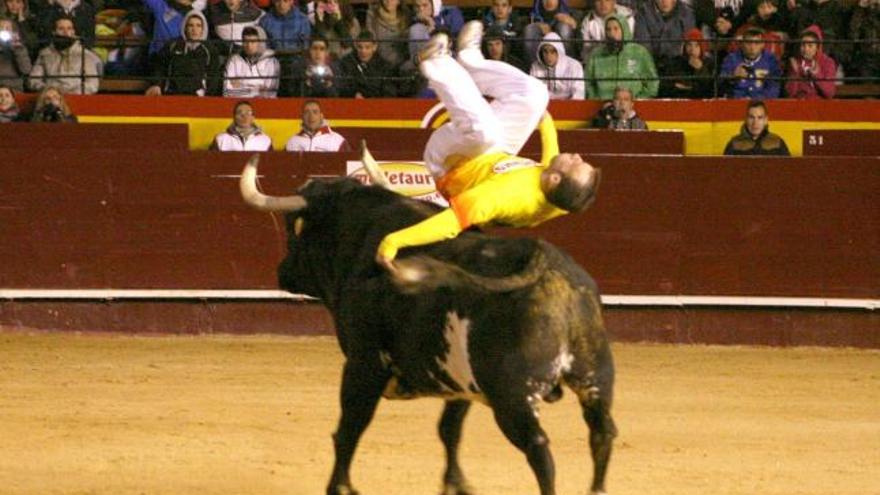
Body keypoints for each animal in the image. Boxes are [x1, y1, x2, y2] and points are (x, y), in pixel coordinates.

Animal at [237, 158, 616, 495]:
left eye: (293, 227)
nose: (282, 272)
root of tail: (551, 271)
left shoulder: (363, 363)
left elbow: (350, 427)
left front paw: (340, 487)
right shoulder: (459, 379)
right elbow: (449, 429)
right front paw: (455, 485)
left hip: (514, 396)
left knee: (538, 446)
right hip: (595, 378)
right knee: (603, 433)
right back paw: (597, 489)